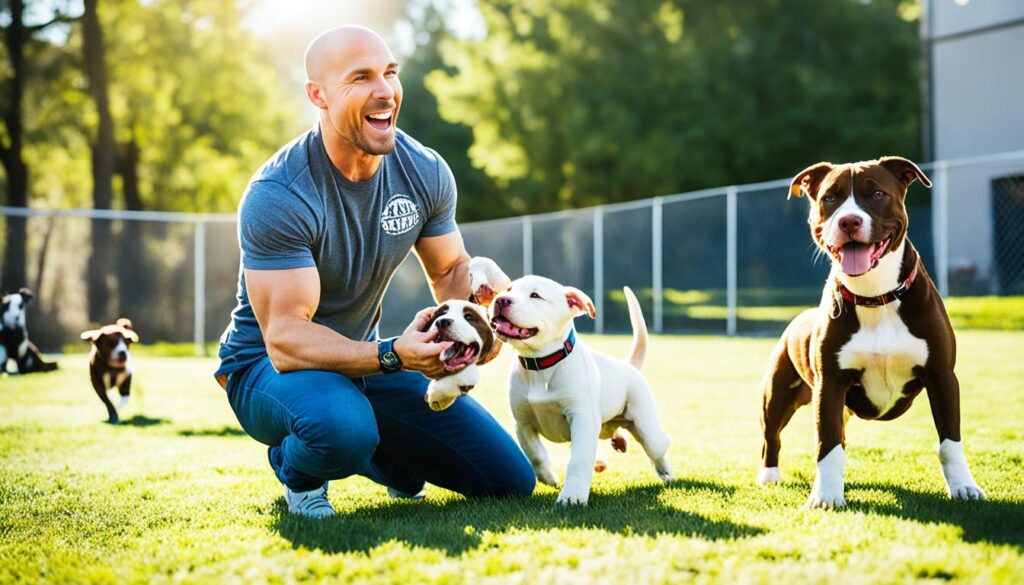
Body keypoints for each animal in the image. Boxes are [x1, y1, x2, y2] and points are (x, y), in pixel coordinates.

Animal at [491, 276, 675, 506]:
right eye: (508, 289)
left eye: (535, 295)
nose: (500, 300)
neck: (541, 365)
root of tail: (629, 366)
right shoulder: (522, 422)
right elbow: (536, 454)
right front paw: (548, 478)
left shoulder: (582, 417)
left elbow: (578, 459)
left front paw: (572, 496)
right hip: (603, 426)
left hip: (645, 427)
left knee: (659, 447)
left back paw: (667, 473)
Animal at [761, 155, 983, 508]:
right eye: (830, 197)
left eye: (877, 193)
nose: (849, 221)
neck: (875, 294)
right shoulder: (830, 384)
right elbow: (826, 444)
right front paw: (825, 496)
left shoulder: (942, 377)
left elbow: (950, 442)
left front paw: (964, 487)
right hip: (777, 394)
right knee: (772, 436)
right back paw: (769, 476)